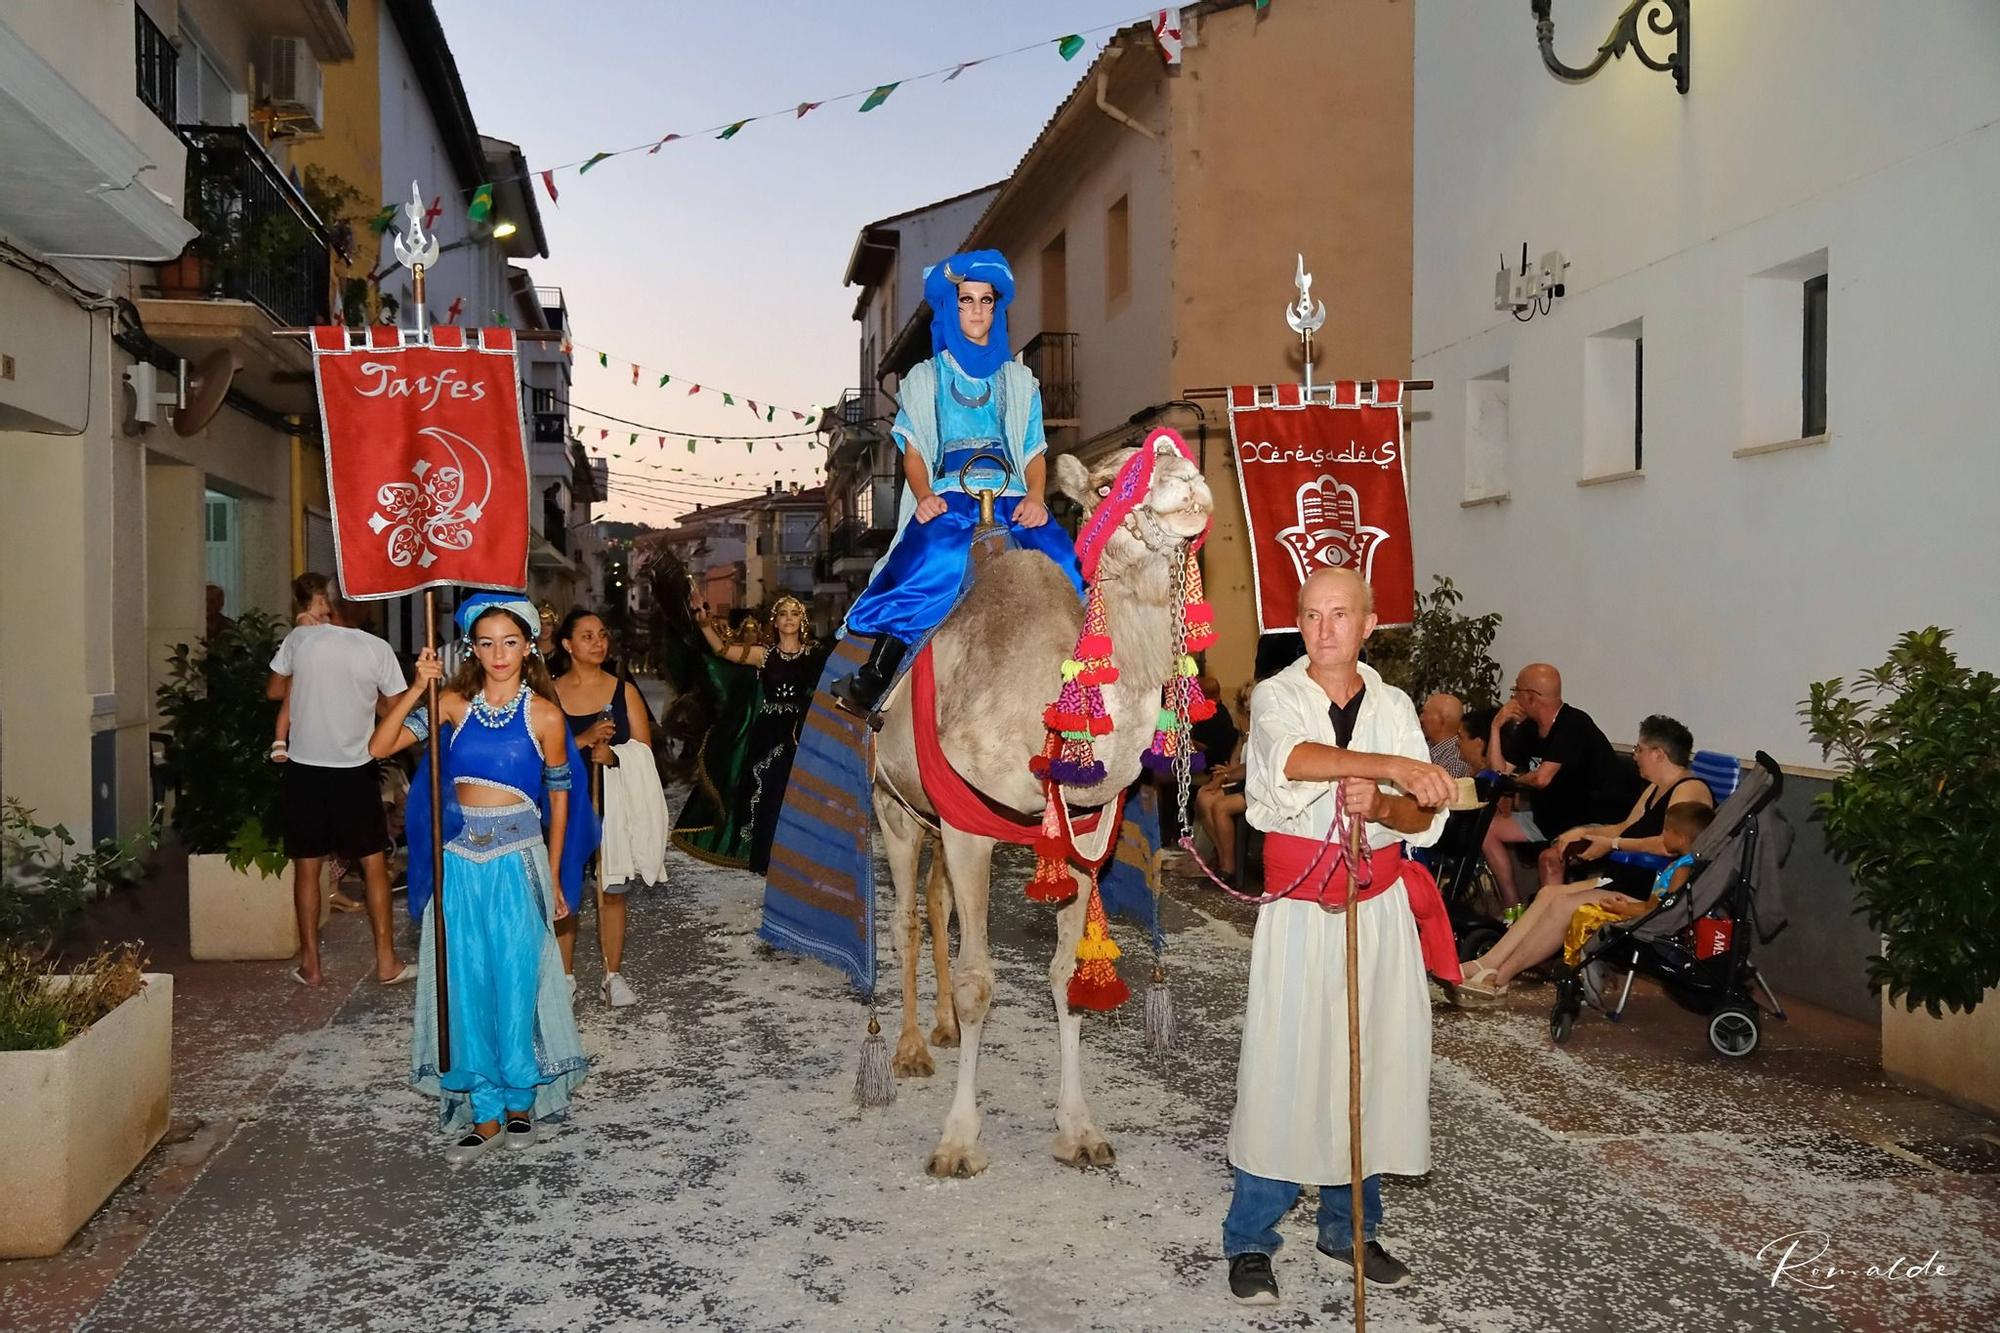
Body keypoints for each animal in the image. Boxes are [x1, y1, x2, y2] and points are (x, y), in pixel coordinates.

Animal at [872, 438, 1208, 1176]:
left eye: (1182, 457)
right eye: (1109, 484)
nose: (1191, 484)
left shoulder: (1082, 840)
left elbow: (1067, 976)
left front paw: (1079, 1130)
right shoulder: (968, 829)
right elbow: (979, 981)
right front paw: (957, 1142)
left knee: (936, 905)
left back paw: (940, 1029)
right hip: (894, 805)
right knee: (906, 917)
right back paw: (908, 1050)